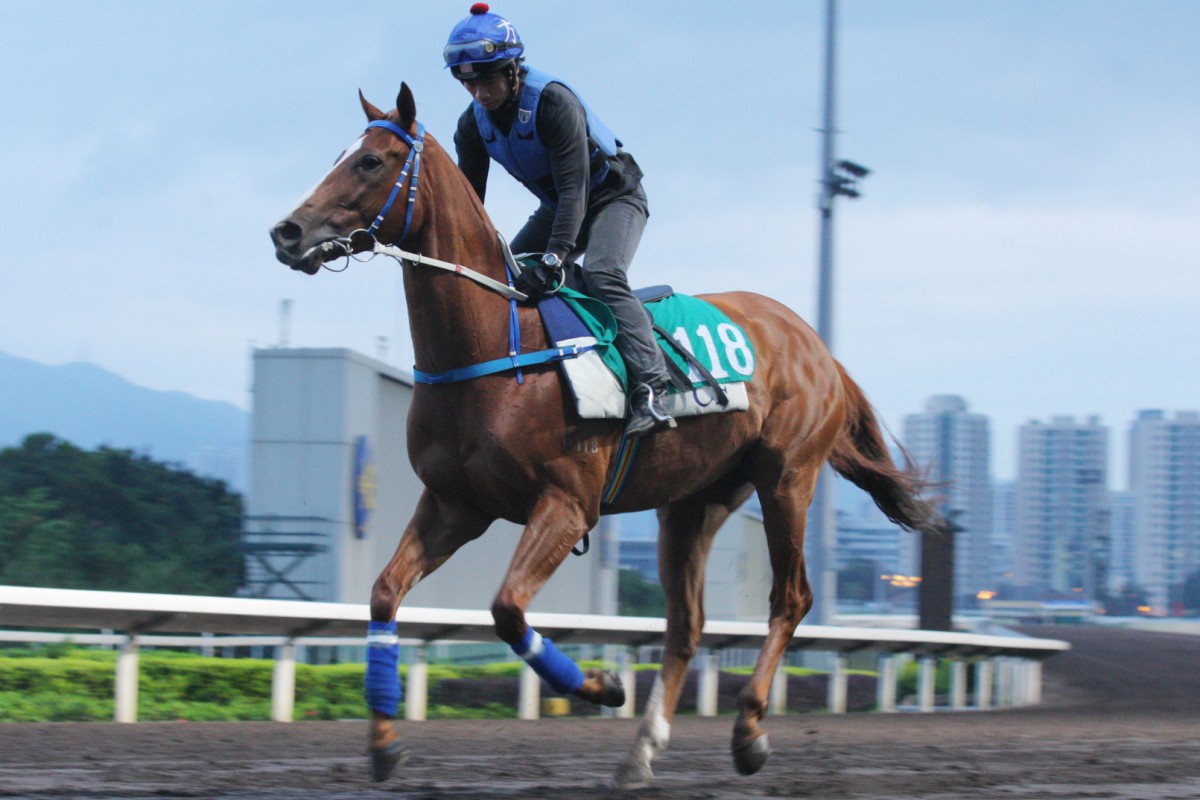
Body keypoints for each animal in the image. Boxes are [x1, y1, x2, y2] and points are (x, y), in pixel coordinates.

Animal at [272, 86, 945, 786]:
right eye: (341, 154)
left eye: (371, 161)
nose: (287, 232)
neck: (494, 349)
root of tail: (816, 345)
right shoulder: (456, 504)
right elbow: (383, 595)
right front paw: (382, 742)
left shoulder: (567, 504)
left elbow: (507, 609)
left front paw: (602, 684)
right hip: (694, 502)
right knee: (687, 624)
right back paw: (642, 751)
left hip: (787, 476)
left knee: (791, 597)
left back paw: (749, 730)